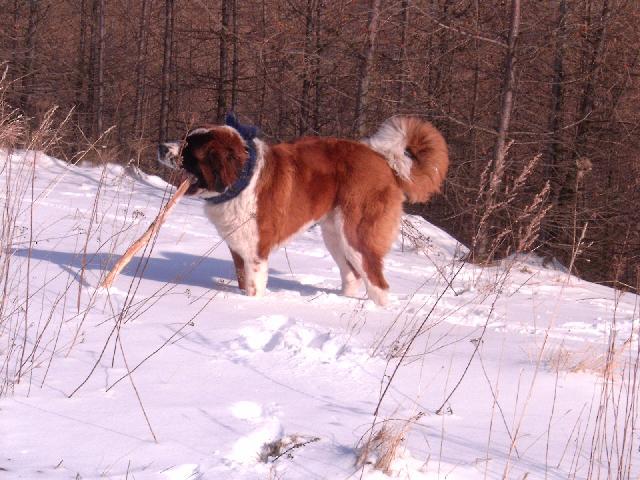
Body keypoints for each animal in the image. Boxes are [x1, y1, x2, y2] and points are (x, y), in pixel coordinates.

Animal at [159, 114, 450, 306]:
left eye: (189, 149)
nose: (161, 147)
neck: (242, 180)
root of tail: (382, 158)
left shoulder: (255, 253)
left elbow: (253, 288)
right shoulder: (238, 248)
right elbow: (243, 282)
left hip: (356, 236)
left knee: (378, 283)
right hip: (334, 235)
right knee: (353, 274)